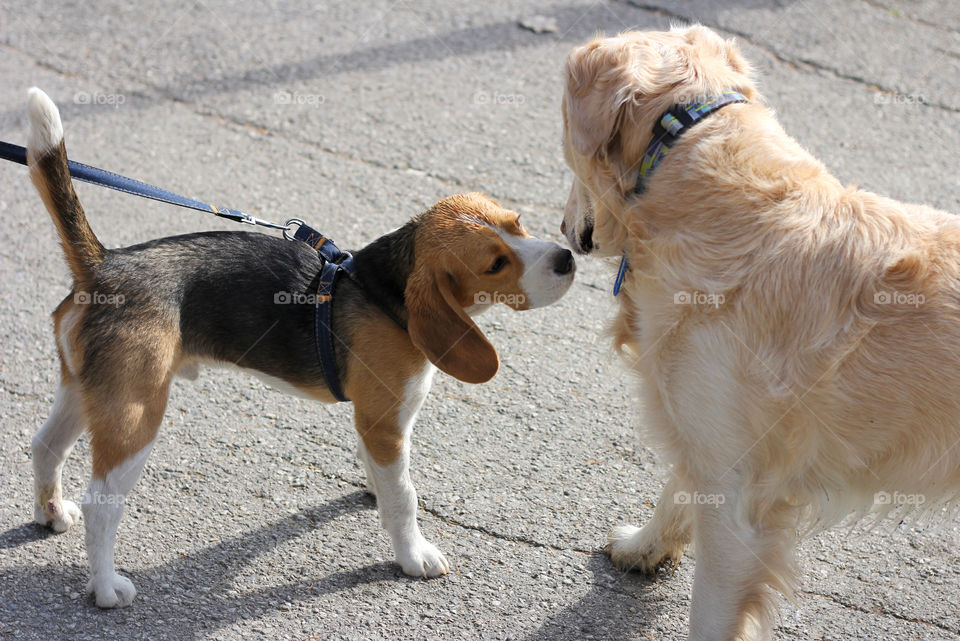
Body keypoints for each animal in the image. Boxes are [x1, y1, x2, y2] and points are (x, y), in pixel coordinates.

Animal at [26, 89, 572, 604]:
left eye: (519, 223)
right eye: (495, 264)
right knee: (101, 505)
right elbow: (405, 497)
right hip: (134, 416)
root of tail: (104, 265)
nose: (568, 258)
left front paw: (376, 491)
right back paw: (105, 587)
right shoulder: (387, 422)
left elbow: (384, 476)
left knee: (44, 446)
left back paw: (51, 513)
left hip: (85, 390)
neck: (382, 290)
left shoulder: (374, 422)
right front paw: (413, 555)